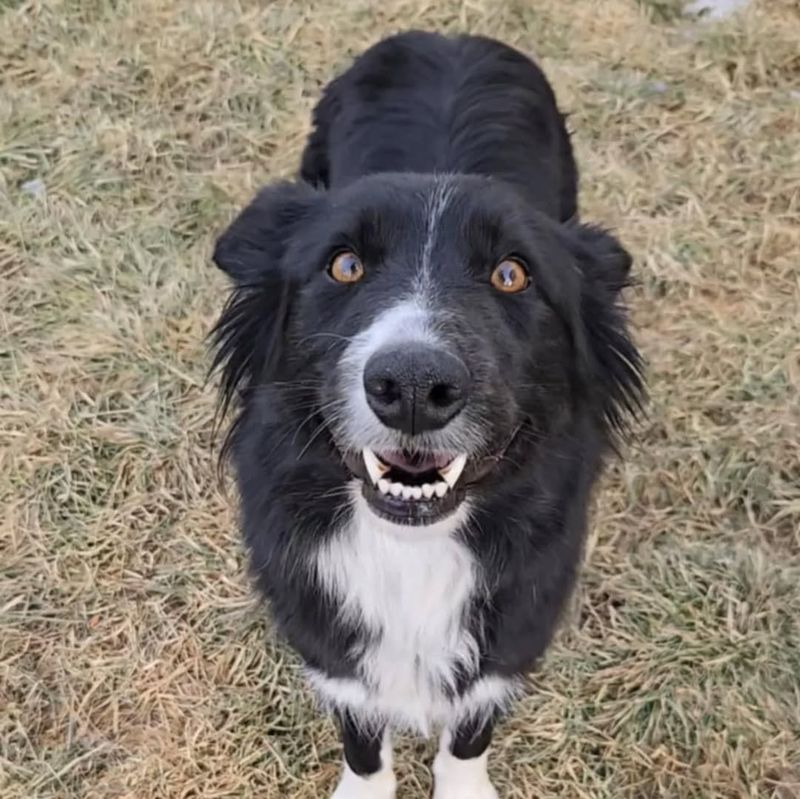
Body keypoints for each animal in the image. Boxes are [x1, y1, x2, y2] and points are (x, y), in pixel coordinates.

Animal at [211, 28, 644, 796]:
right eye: (344, 265)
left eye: (513, 274)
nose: (413, 383)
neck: (411, 551)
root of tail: (449, 36)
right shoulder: (330, 637)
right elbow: (361, 733)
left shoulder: (513, 625)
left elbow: (470, 728)